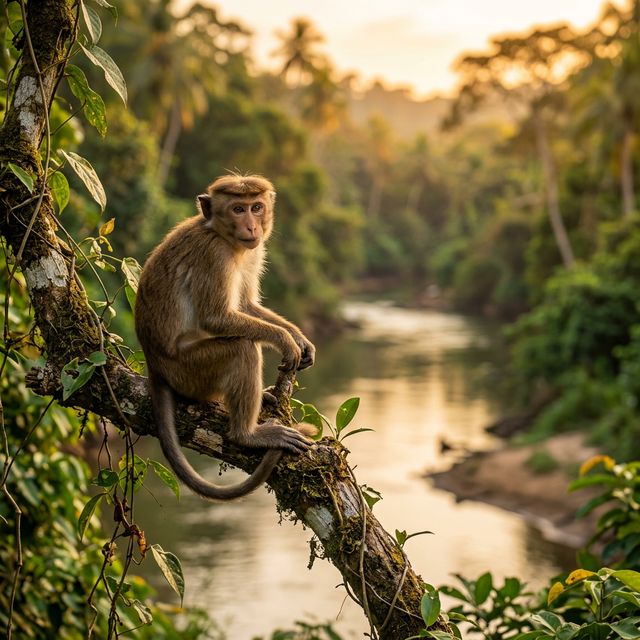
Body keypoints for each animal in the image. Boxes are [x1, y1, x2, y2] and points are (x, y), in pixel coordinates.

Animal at [134, 174, 317, 502]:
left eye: (256, 207)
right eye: (237, 209)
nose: (252, 227)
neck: (222, 235)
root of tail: (154, 367)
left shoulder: (254, 251)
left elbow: (244, 306)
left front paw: (299, 338)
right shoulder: (214, 255)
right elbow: (216, 317)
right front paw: (285, 340)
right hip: (189, 372)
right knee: (241, 348)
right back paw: (247, 435)